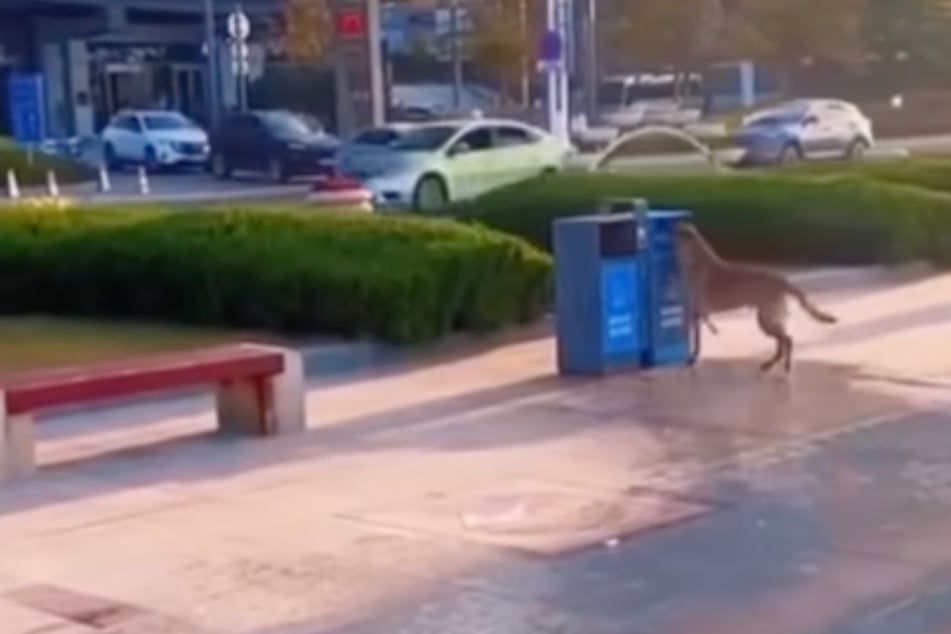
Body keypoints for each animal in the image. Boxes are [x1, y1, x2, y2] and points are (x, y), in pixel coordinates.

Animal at [672, 221, 836, 370]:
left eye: (675, 232)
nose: (669, 232)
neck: (695, 258)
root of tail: (782, 280)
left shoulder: (696, 311)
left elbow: (696, 340)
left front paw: (693, 358)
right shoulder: (698, 312)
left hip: (767, 319)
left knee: (787, 339)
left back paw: (784, 365)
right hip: (767, 319)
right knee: (781, 342)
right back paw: (771, 363)